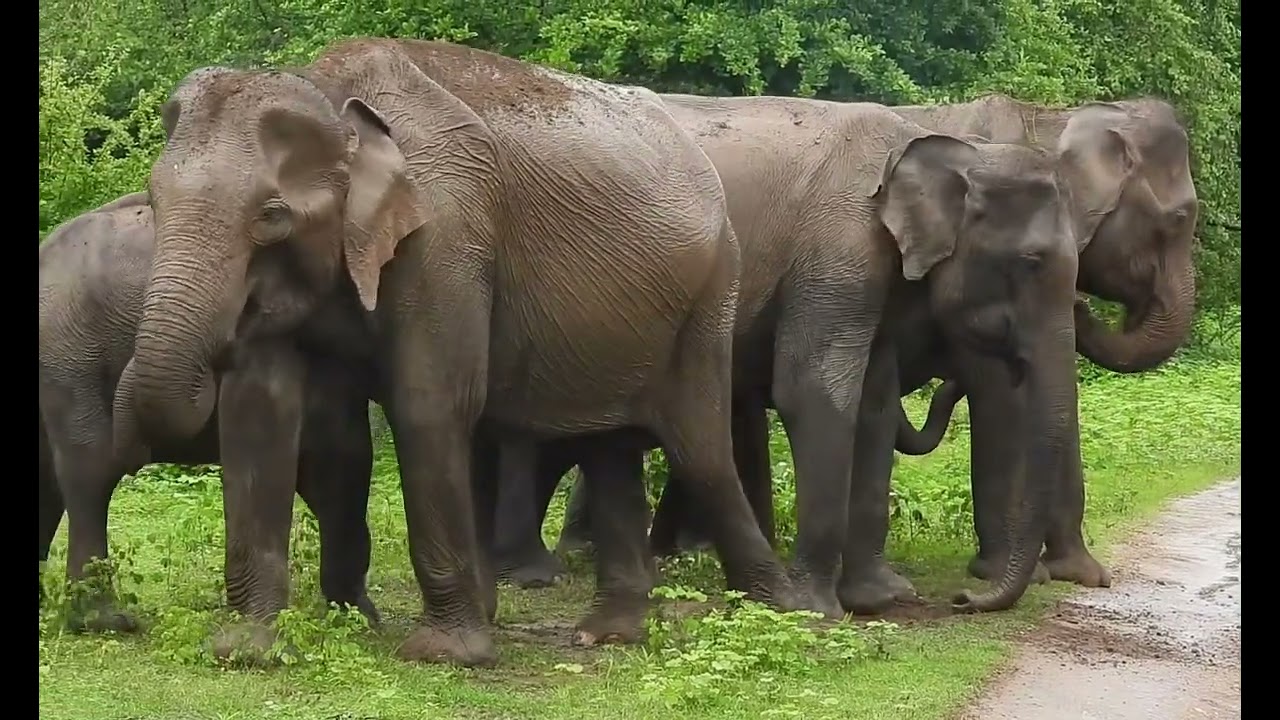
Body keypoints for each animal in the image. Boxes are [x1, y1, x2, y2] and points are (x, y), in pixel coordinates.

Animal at [115, 38, 793, 668]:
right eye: (153, 198)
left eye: (272, 216)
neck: (328, 93)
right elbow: (258, 415)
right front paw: (246, 649)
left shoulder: (447, 229)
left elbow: (430, 404)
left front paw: (443, 654)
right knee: (608, 447)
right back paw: (608, 634)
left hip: (710, 298)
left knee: (700, 449)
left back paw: (786, 614)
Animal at [547, 94, 1199, 593]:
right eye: (1177, 221)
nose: (1085, 306)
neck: (1050, 117)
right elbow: (994, 394)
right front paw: (1017, 575)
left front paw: (1072, 575)